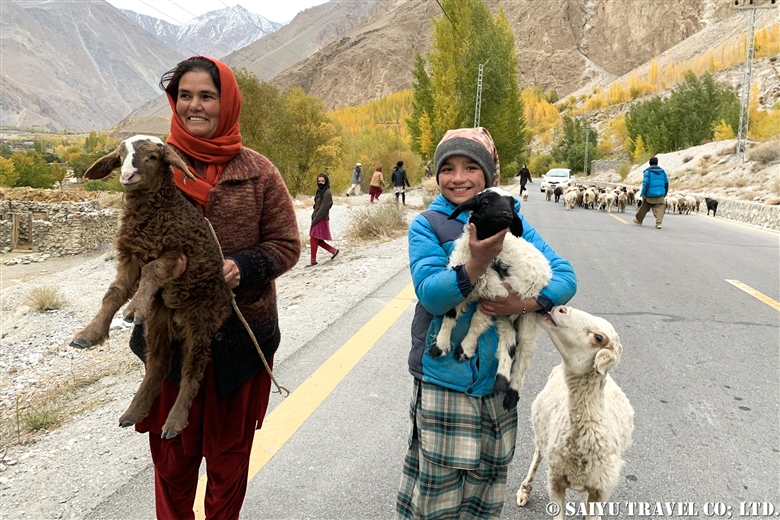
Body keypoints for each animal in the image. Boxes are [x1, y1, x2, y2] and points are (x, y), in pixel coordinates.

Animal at [71, 135, 235, 438]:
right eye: (120, 157)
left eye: (153, 158)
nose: (127, 176)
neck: (155, 211)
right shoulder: (130, 257)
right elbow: (113, 294)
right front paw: (89, 334)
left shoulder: (175, 251)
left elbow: (151, 272)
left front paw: (134, 307)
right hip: (159, 321)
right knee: (158, 364)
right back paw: (133, 411)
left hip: (201, 319)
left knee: (192, 369)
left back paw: (174, 421)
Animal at [430, 187, 552, 410]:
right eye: (486, 201)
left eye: (511, 204)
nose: (507, 214)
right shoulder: (464, 281)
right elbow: (450, 314)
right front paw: (440, 346)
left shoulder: (496, 296)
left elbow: (477, 322)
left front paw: (464, 349)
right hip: (507, 315)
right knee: (509, 339)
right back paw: (501, 381)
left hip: (527, 314)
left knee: (523, 356)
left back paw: (511, 394)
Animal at [516, 306, 632, 516]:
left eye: (599, 338)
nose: (561, 308)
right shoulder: (555, 481)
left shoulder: (600, 490)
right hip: (542, 434)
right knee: (538, 454)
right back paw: (524, 490)